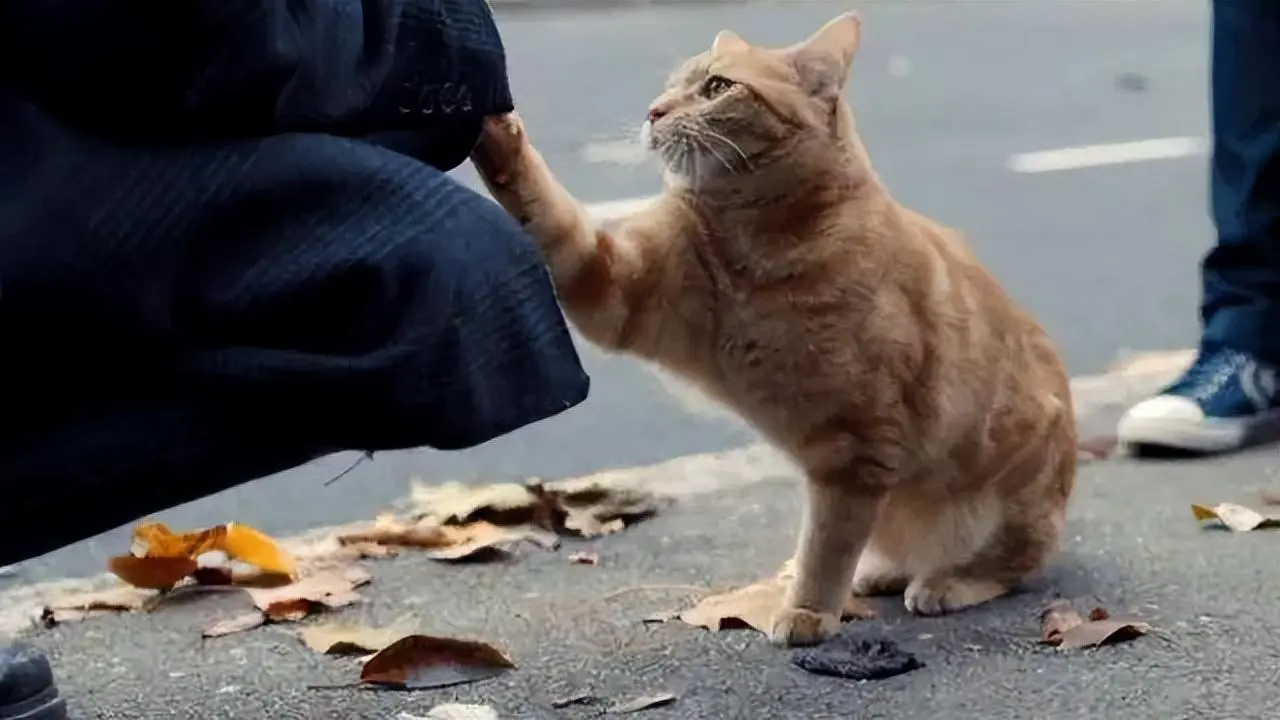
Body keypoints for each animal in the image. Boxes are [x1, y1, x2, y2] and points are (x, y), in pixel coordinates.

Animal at [473, 12, 1080, 645]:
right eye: (670, 86)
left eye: (716, 87)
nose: (653, 111)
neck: (749, 247)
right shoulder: (613, 286)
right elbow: (547, 214)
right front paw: (496, 140)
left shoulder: (854, 449)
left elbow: (827, 545)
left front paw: (809, 608)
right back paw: (882, 570)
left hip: (1002, 502)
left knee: (1011, 565)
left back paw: (946, 581)